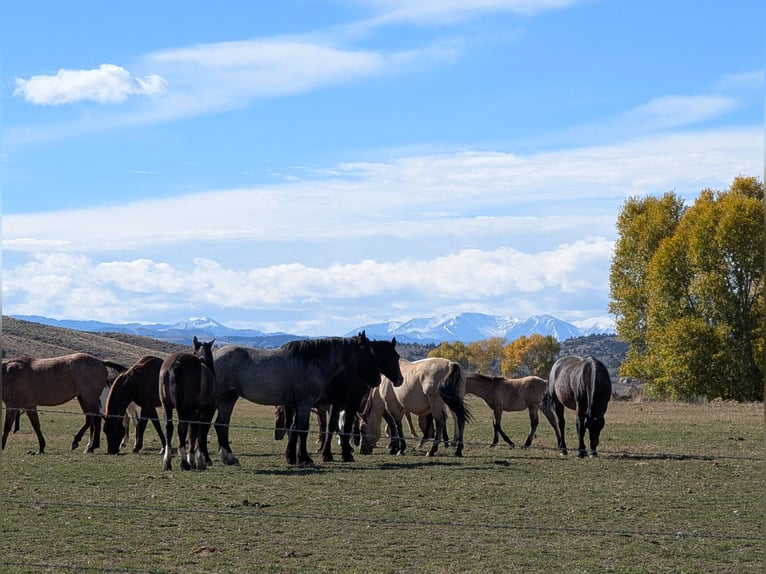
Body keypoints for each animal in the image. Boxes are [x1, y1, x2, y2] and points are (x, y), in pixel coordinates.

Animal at [159, 337, 217, 471]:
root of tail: (176, 363)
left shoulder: (194, 413)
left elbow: (193, 434)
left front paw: (193, 460)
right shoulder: (206, 411)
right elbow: (200, 434)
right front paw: (199, 461)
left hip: (167, 405)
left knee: (169, 428)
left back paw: (167, 462)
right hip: (185, 408)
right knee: (182, 428)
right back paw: (184, 462)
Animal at [213, 332, 380, 466]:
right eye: (369, 353)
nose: (377, 380)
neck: (311, 362)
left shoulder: (298, 405)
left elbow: (295, 428)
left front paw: (295, 457)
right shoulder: (304, 403)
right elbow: (302, 429)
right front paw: (305, 458)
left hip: (229, 398)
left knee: (221, 425)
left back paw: (229, 458)